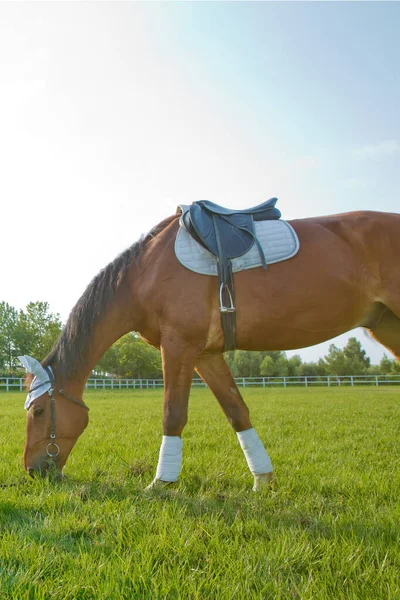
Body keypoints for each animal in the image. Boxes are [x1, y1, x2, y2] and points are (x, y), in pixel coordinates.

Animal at [18, 204, 400, 490]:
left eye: (39, 412)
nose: (33, 472)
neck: (144, 273)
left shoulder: (177, 346)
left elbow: (172, 414)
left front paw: (161, 482)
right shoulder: (205, 354)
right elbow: (237, 411)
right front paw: (263, 480)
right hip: (386, 326)